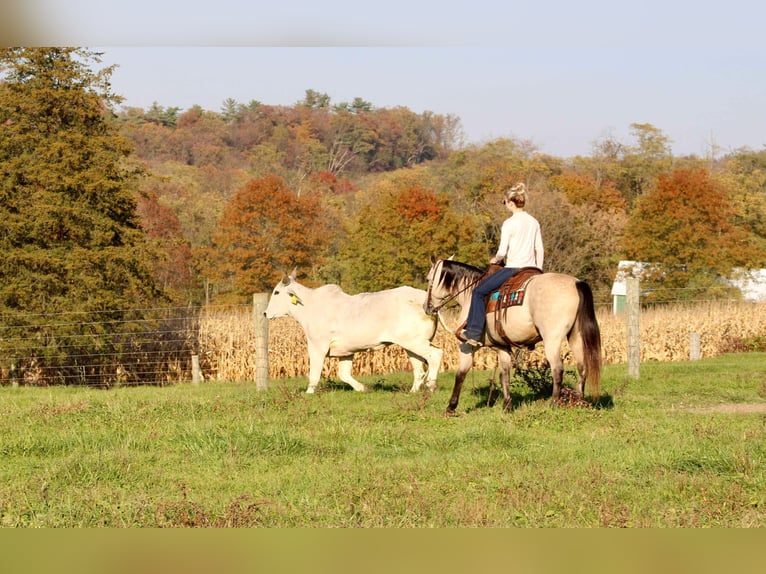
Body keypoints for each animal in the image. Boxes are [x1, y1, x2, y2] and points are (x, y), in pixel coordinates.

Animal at [266, 272, 444, 394]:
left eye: (276, 292)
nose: (265, 313)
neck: (309, 306)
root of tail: (427, 301)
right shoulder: (346, 352)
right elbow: (344, 374)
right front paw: (363, 388)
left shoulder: (317, 347)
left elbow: (314, 374)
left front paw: (309, 392)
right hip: (410, 345)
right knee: (419, 369)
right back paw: (413, 391)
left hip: (415, 343)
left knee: (436, 354)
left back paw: (431, 386)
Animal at [426, 258, 600, 416]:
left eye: (428, 280)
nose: (427, 308)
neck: (469, 294)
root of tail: (576, 283)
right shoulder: (502, 347)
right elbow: (505, 375)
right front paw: (507, 405)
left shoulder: (467, 346)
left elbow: (460, 374)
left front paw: (451, 407)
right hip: (576, 337)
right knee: (582, 367)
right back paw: (579, 400)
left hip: (552, 339)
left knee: (557, 369)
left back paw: (554, 403)